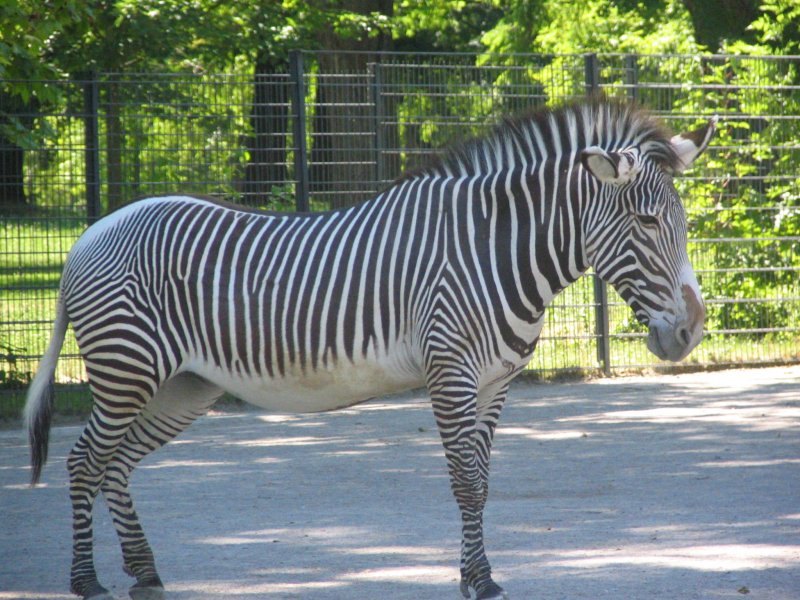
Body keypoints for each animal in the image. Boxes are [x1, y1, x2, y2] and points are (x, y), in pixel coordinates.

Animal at [24, 98, 715, 600]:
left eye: (684, 224)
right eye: (648, 223)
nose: (691, 333)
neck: (495, 248)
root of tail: (91, 233)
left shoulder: (497, 382)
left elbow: (483, 480)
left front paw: (477, 573)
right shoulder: (450, 371)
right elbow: (466, 482)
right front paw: (480, 582)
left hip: (181, 385)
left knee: (117, 463)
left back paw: (145, 573)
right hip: (127, 369)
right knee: (84, 461)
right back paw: (86, 582)